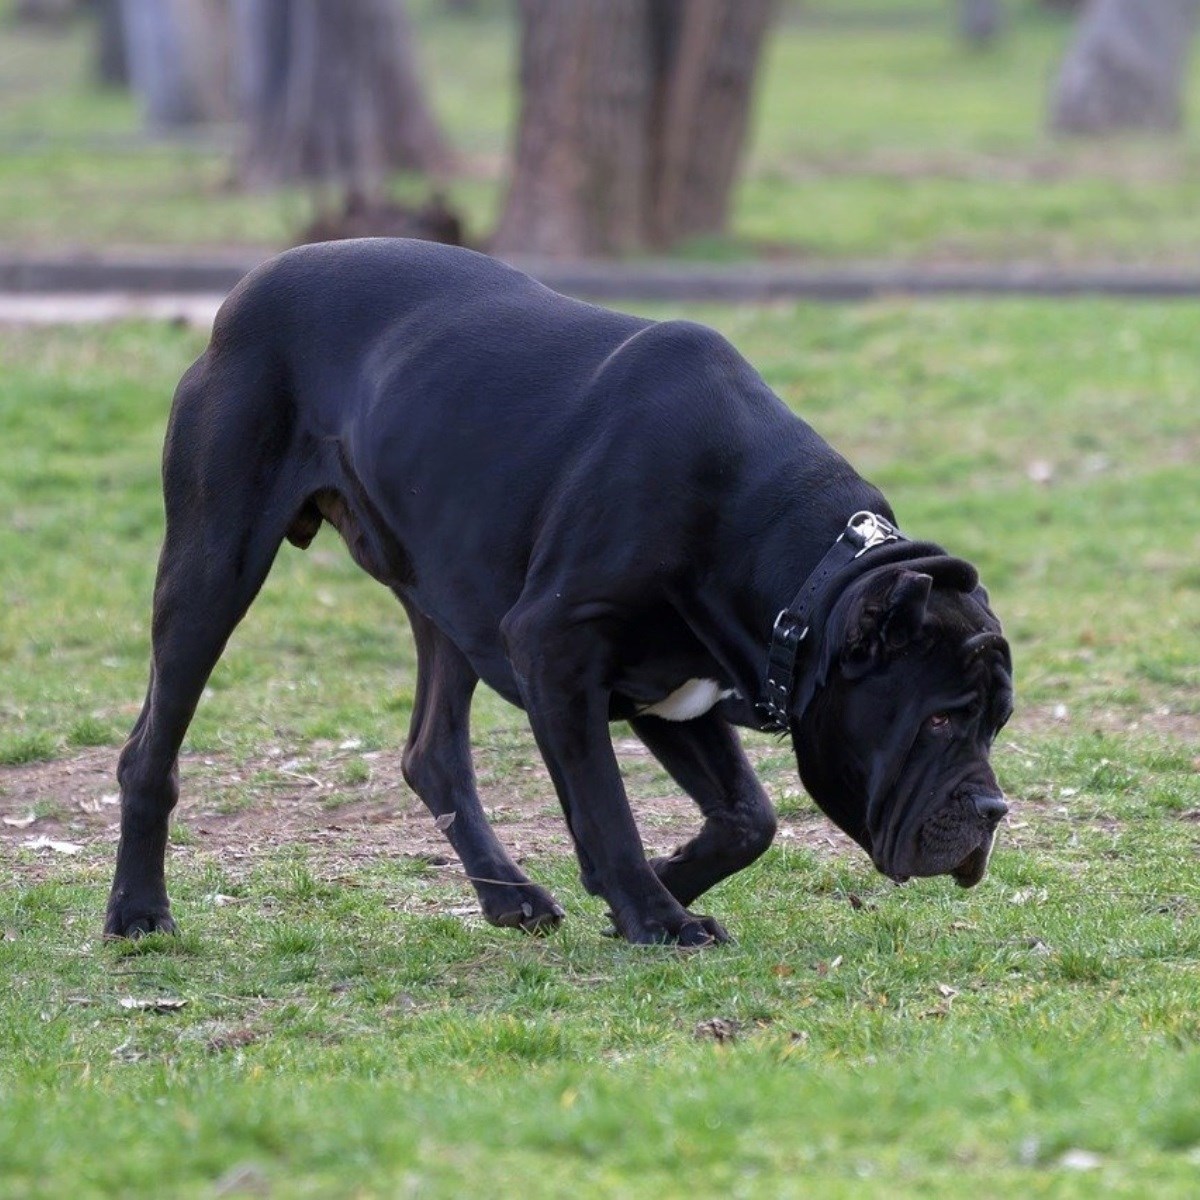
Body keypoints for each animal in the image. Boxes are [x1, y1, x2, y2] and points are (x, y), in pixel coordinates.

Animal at [105, 236, 1012, 945]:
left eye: (997, 725)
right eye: (938, 720)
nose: (995, 810)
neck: (792, 567)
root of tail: (246, 288)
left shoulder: (674, 686)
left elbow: (748, 817)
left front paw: (658, 886)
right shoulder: (557, 649)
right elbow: (606, 805)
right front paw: (657, 917)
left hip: (446, 592)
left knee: (434, 752)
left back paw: (511, 897)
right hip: (213, 566)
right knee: (152, 745)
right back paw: (138, 913)